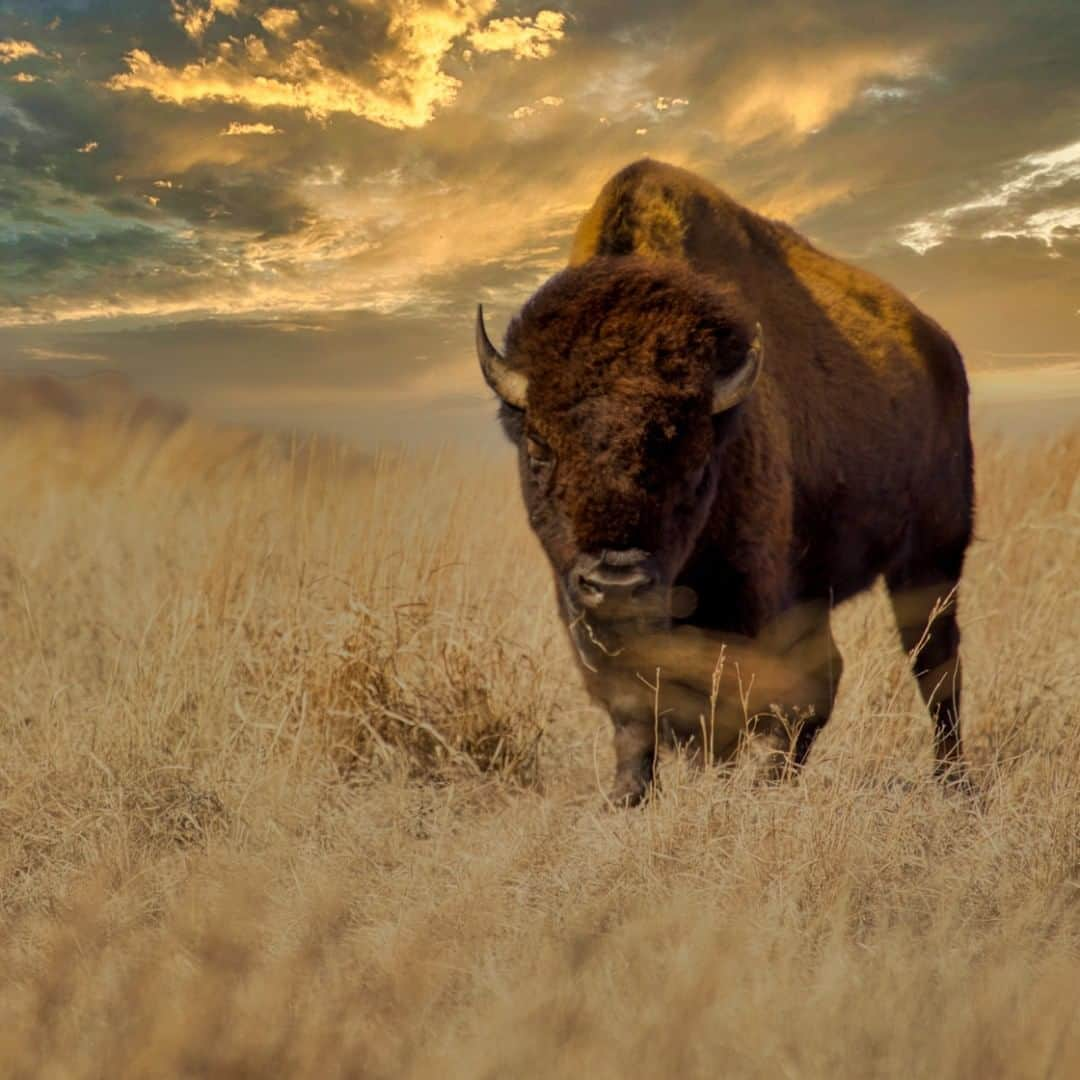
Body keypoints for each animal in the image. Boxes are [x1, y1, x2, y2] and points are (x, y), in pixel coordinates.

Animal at [477, 157, 976, 803]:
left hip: (930, 560)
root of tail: (939, 348)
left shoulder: (750, 596)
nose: (617, 580)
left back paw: (950, 782)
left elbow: (735, 699)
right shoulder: (584, 612)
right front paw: (627, 797)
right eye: (538, 447)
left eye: (694, 455)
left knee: (931, 666)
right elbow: (635, 707)